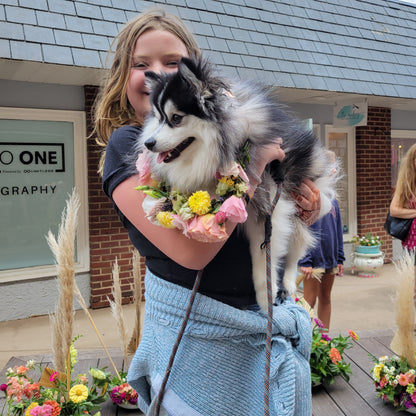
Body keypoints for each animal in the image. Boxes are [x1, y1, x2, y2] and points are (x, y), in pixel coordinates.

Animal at [135, 56, 336, 308]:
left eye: (176, 118)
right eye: (159, 118)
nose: (148, 143)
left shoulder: (272, 208)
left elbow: (264, 260)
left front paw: (266, 299)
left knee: (296, 248)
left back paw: (288, 284)